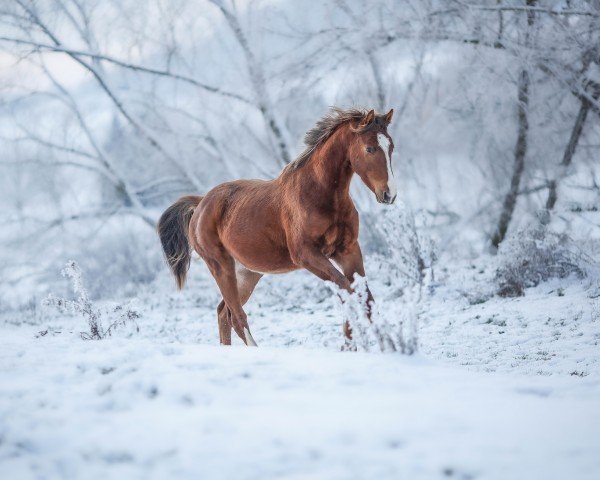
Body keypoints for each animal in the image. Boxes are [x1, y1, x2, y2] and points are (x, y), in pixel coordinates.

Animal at [157, 108, 396, 344]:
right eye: (369, 148)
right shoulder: (306, 255)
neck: (318, 194)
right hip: (220, 266)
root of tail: (200, 203)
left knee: (223, 313)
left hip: (248, 273)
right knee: (237, 317)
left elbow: (363, 297)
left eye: (391, 146)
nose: (389, 194)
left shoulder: (348, 250)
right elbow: (348, 291)